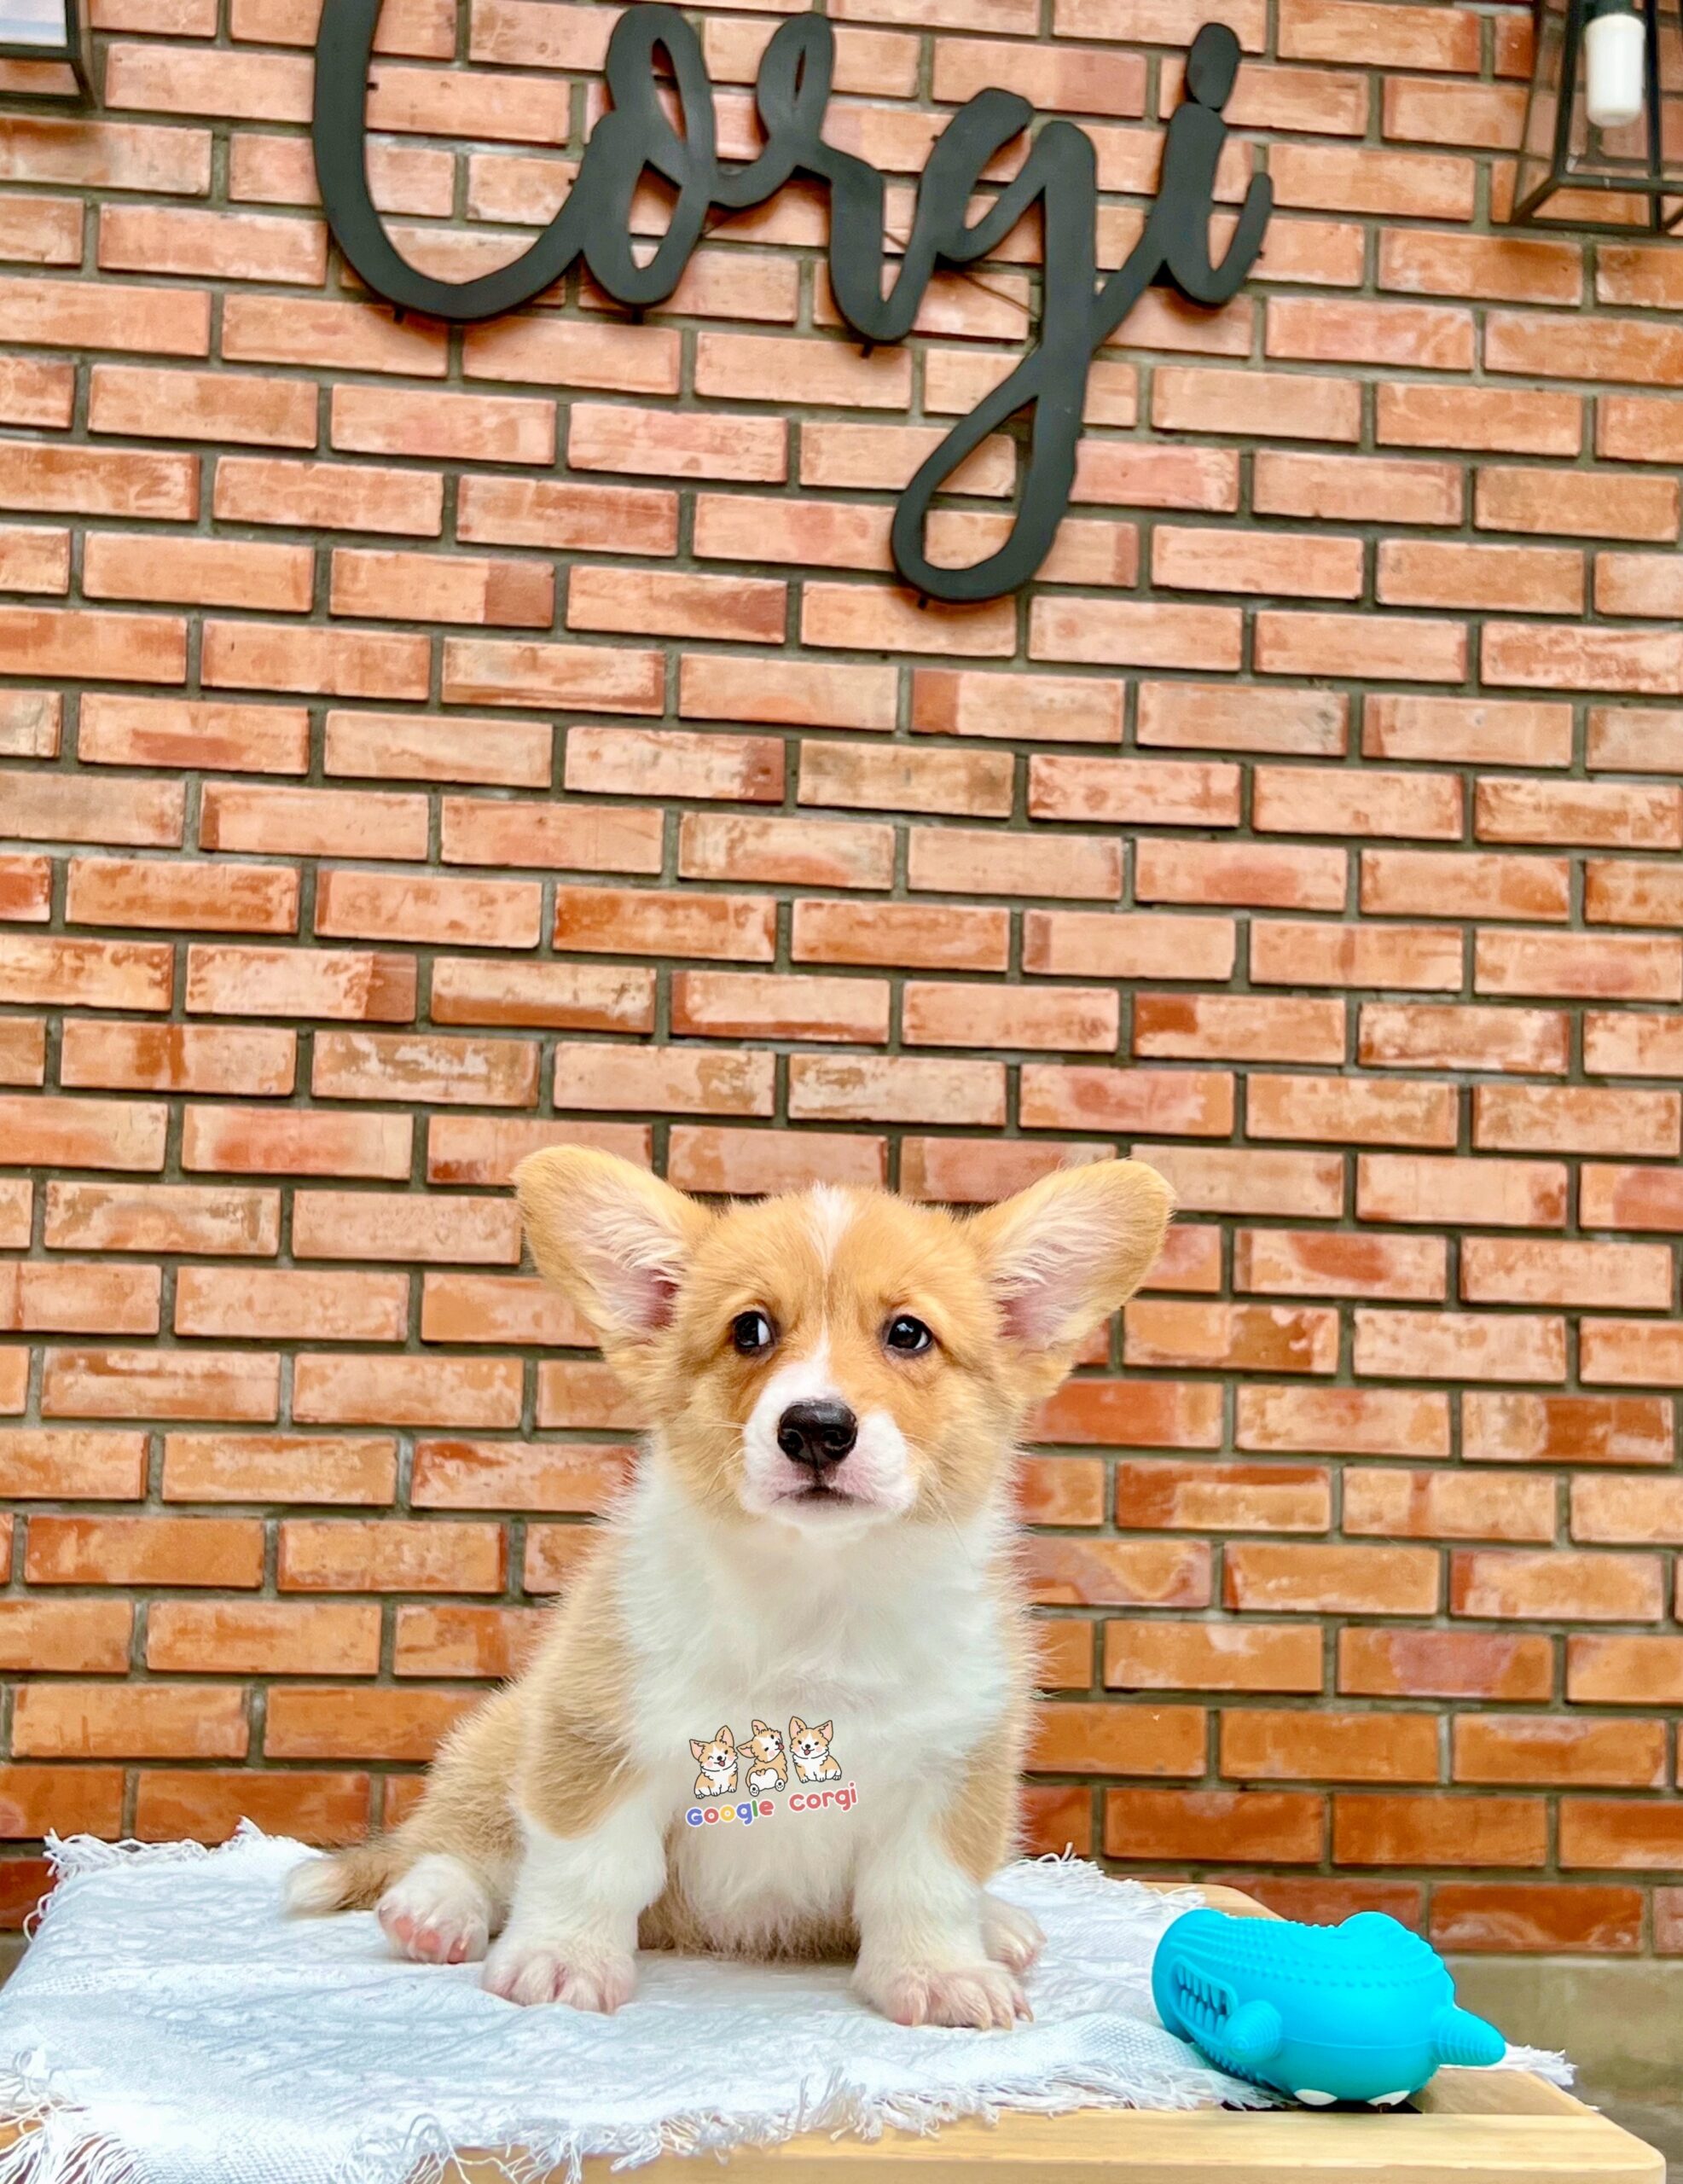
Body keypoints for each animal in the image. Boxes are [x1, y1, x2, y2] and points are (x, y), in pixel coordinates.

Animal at [287, 1150, 1171, 2029]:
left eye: (908, 1334)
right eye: (749, 1330)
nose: (815, 1428)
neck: (816, 1588)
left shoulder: (952, 1767)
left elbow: (925, 1888)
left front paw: (940, 1974)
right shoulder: (598, 1736)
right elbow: (587, 1864)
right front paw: (561, 1961)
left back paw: (1001, 1925)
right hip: (503, 1737)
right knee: (458, 1844)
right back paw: (432, 1911)